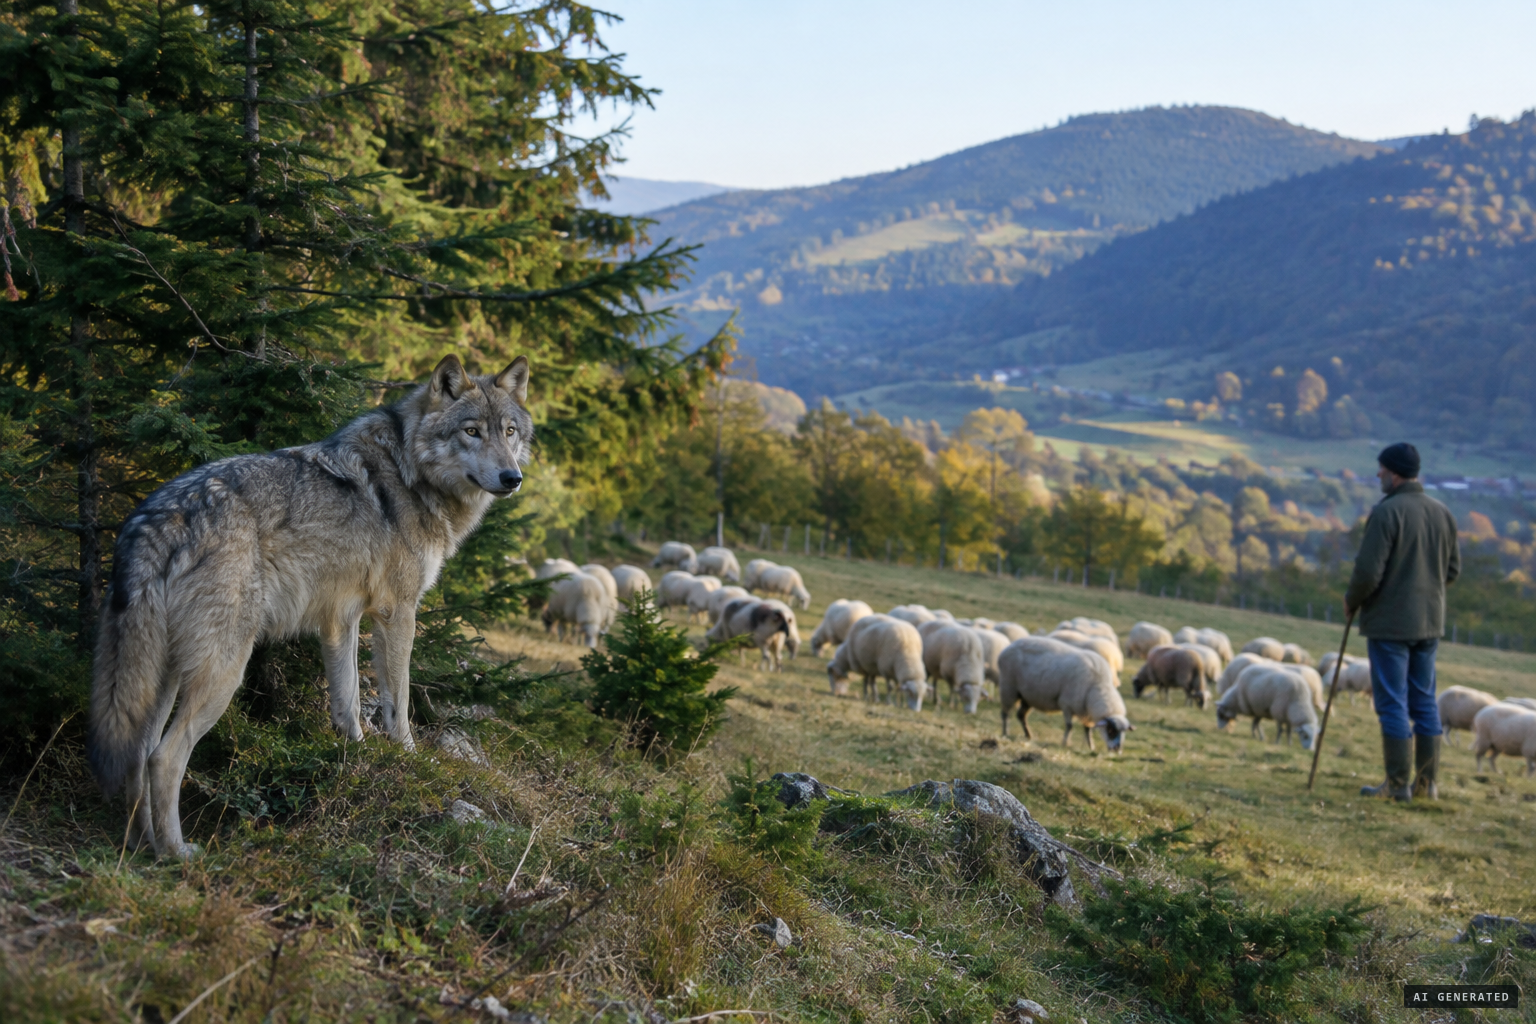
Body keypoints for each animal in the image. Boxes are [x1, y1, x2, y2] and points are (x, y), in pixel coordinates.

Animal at [88, 354, 531, 859]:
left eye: (510, 432)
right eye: (472, 431)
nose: (512, 478)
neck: (411, 471)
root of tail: (154, 519)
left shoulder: (340, 620)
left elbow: (348, 701)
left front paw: (356, 756)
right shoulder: (397, 612)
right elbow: (398, 702)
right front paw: (407, 758)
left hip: (164, 676)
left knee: (139, 756)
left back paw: (140, 844)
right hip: (223, 672)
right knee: (164, 758)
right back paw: (176, 853)